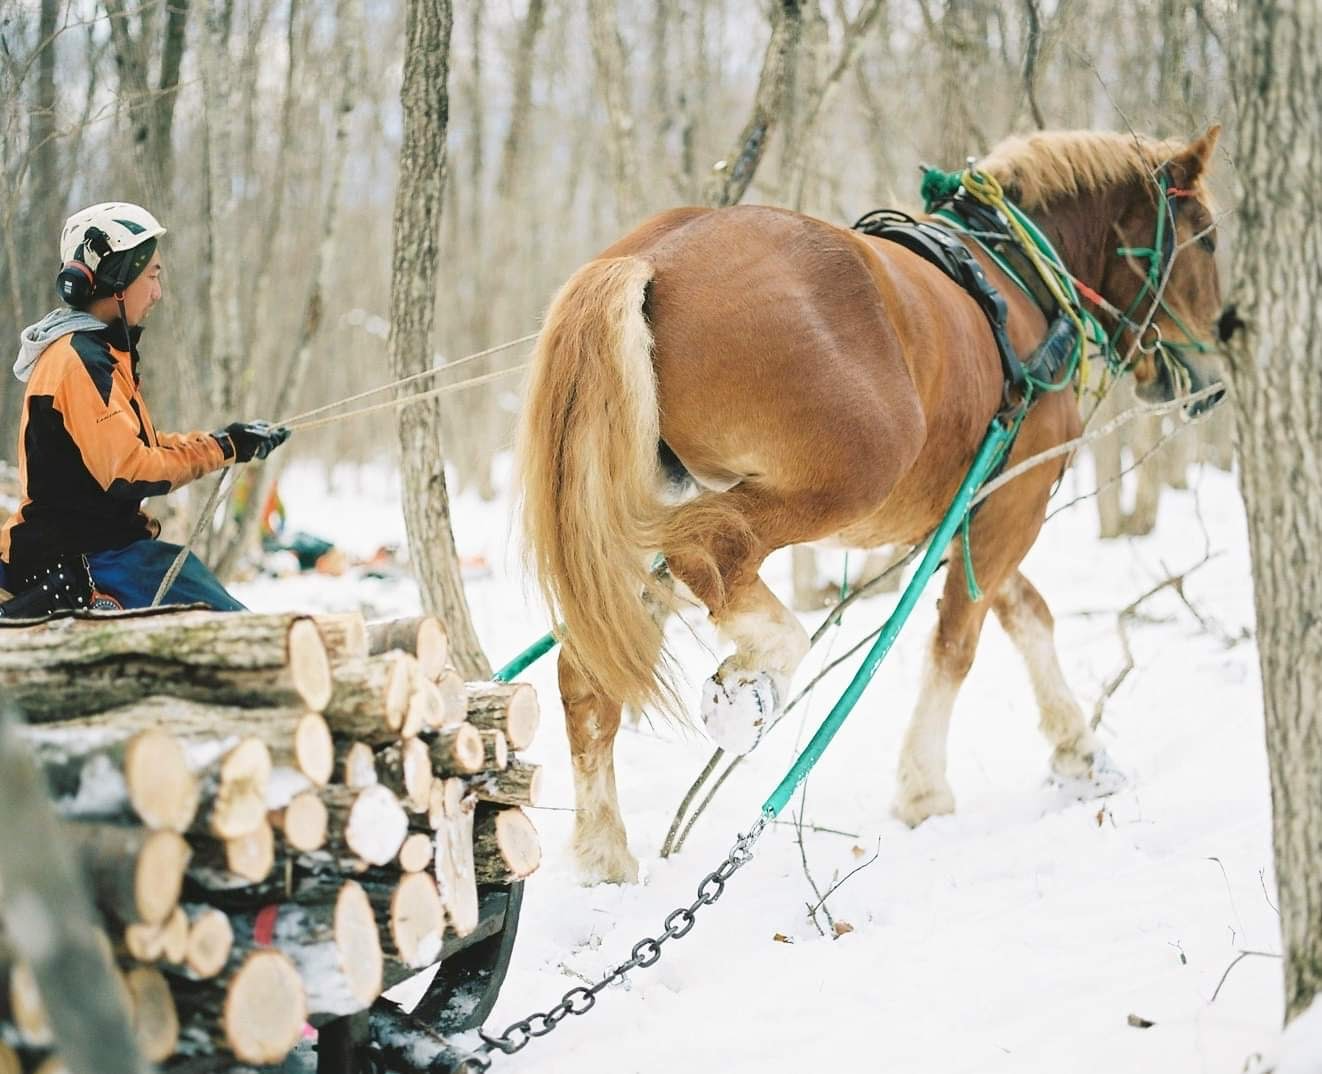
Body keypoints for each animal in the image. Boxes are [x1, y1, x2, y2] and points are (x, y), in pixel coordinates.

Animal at [517, 126, 1226, 884]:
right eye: (1208, 239)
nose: (1211, 378)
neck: (1021, 278)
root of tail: (651, 258)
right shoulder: (1014, 500)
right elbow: (957, 643)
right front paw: (925, 789)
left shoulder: (976, 507)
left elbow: (1027, 614)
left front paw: (1081, 755)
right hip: (854, 472)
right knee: (714, 552)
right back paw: (762, 670)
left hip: (636, 521)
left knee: (590, 670)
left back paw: (604, 854)